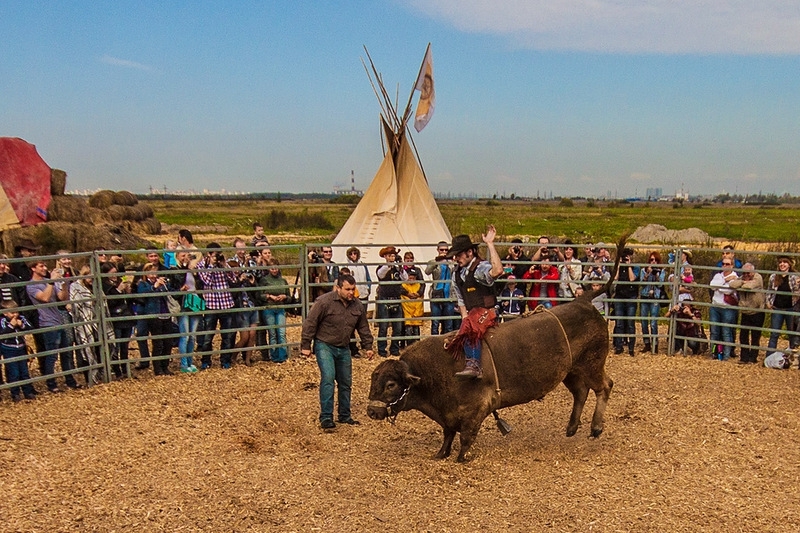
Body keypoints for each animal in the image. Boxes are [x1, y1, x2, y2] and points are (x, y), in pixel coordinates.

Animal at [368, 296, 612, 462]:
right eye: (373, 381)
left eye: (391, 385)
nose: (371, 411)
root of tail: (583, 301)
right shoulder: (448, 414)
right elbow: (448, 433)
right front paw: (441, 453)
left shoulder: (476, 409)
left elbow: (466, 437)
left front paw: (461, 457)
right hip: (571, 371)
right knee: (581, 392)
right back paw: (572, 427)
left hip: (592, 364)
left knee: (605, 386)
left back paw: (596, 426)